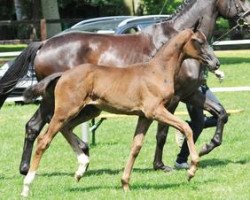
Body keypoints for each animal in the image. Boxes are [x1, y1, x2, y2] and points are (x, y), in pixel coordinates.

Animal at [0, 0, 249, 175]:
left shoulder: (191, 94)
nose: (247, 21)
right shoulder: (175, 98)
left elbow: (218, 115)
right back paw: (34, 166)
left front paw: (203, 148)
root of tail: (43, 44)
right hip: (57, 101)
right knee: (38, 126)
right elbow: (164, 132)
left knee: (42, 126)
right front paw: (161, 165)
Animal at [21, 27, 220, 197]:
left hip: (83, 111)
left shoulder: (144, 116)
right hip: (66, 110)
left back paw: (81, 168)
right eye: (199, 41)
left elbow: (136, 147)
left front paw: (125, 183)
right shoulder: (156, 111)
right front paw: (192, 169)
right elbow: (186, 128)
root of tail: (63, 74)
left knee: (65, 129)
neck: (157, 71)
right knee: (44, 140)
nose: (216, 63)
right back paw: (27, 185)